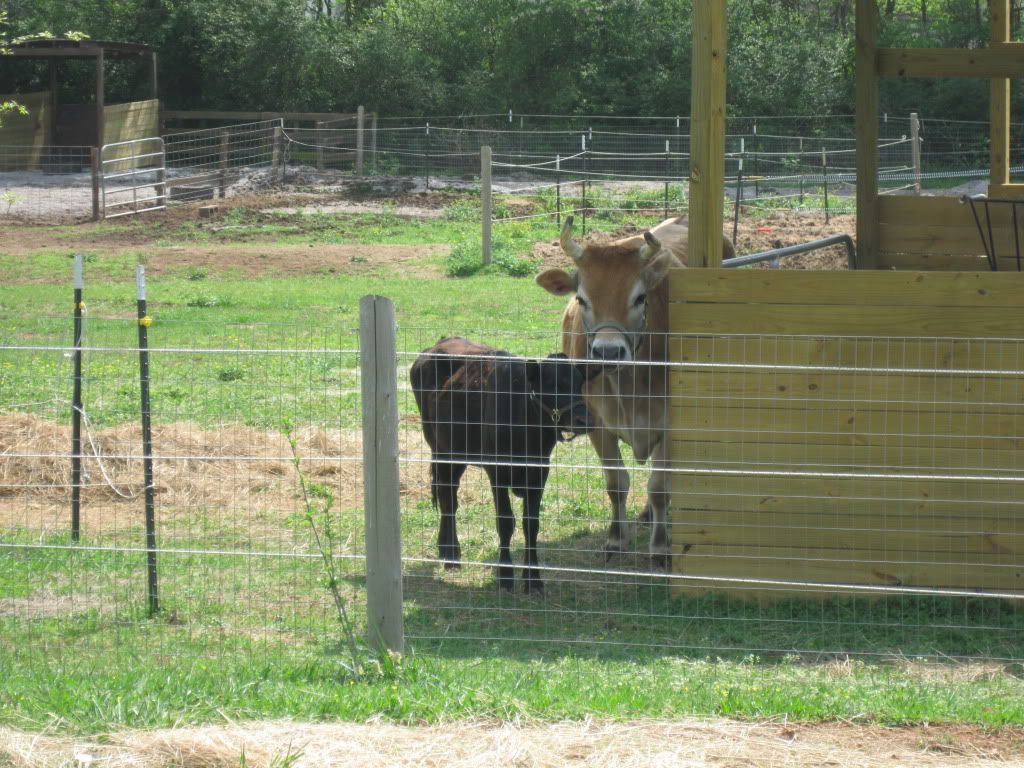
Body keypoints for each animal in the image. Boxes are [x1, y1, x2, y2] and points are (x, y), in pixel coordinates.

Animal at [410, 337, 592, 593]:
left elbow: (531, 524)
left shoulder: (539, 473)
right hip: (442, 449)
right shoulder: (497, 471)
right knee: (448, 498)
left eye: (579, 384)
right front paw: (505, 575)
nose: (584, 420)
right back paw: (452, 555)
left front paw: (533, 579)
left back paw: (446, 550)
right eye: (552, 385)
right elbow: (505, 522)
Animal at [535, 215, 735, 567]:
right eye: (581, 299)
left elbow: (659, 488)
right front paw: (616, 539)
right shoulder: (598, 425)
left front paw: (660, 547)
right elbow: (617, 483)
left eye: (639, 297)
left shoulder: (671, 427)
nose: (608, 352)